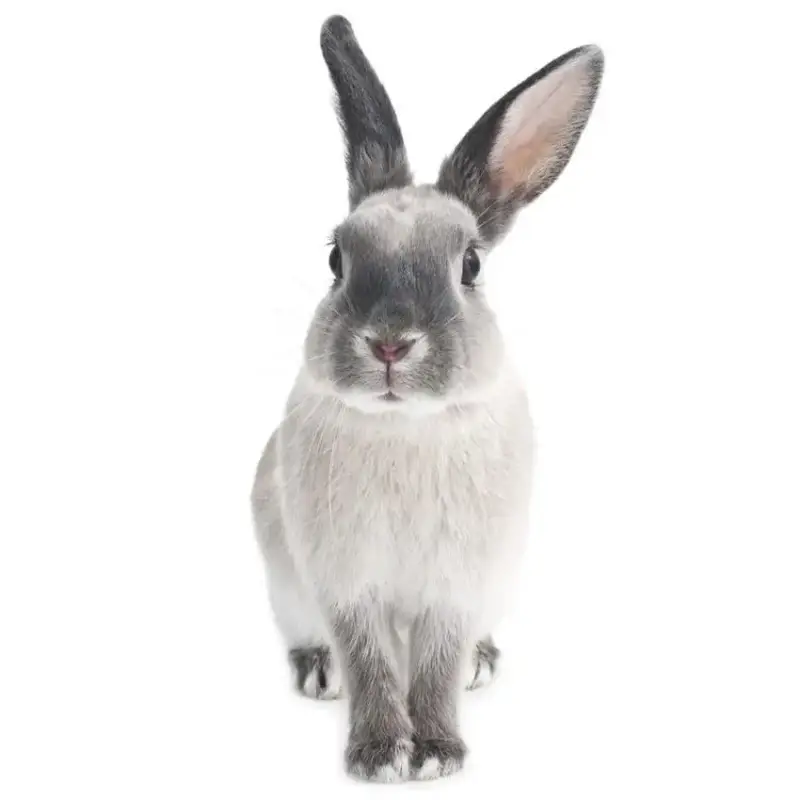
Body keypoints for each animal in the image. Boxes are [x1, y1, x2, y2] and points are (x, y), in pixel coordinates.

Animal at [251, 14, 603, 783]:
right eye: (336, 258)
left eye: (469, 265)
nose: (389, 344)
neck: (404, 427)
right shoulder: (345, 581)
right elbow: (372, 665)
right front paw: (382, 755)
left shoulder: (456, 584)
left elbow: (435, 666)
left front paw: (438, 752)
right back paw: (318, 672)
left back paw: (482, 663)